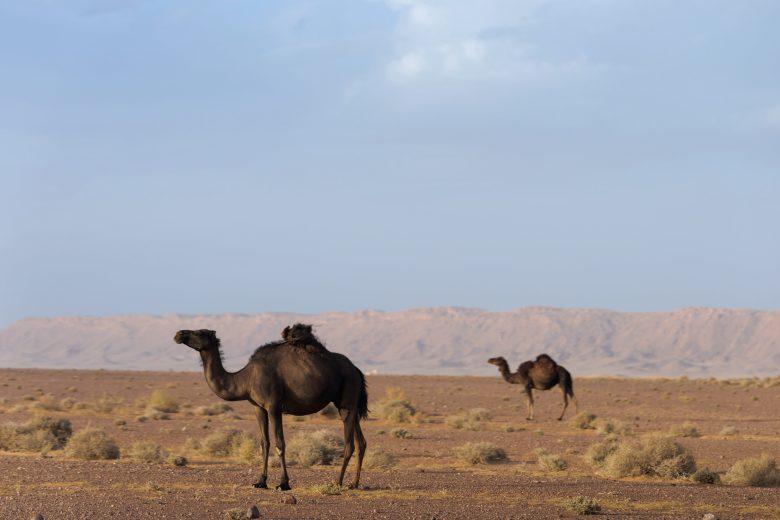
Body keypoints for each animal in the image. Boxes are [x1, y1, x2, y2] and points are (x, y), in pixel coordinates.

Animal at [174, 324, 368, 490]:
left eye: (200, 332)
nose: (179, 334)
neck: (245, 379)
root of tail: (356, 370)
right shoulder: (258, 408)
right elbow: (264, 443)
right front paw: (260, 481)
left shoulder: (273, 405)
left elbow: (279, 443)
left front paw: (283, 483)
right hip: (349, 403)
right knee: (361, 442)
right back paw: (354, 484)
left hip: (347, 397)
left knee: (349, 444)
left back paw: (337, 482)